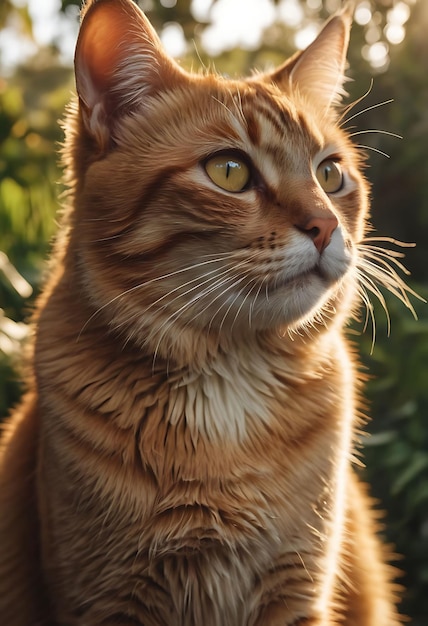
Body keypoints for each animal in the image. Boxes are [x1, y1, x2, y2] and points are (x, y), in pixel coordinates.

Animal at [0, 0, 410, 620]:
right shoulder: (106, 599)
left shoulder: (298, 593)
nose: (326, 225)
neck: (229, 381)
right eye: (229, 171)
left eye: (330, 174)